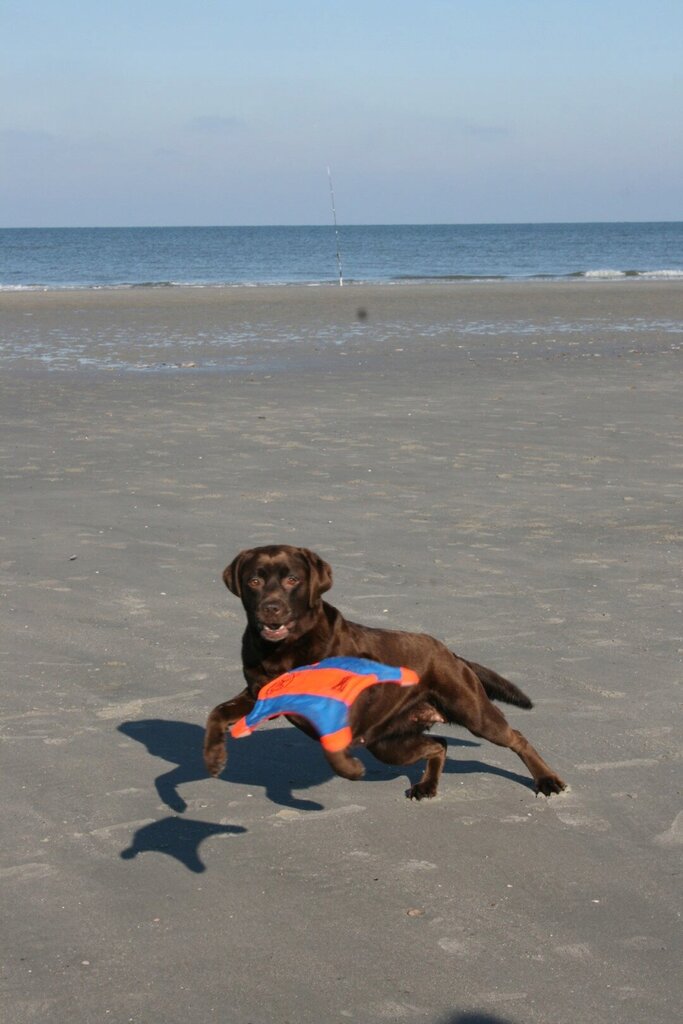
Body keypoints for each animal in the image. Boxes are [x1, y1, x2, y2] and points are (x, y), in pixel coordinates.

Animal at [204, 544, 565, 798]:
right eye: (254, 580)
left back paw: (547, 780)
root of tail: (450, 653)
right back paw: (426, 786)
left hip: (472, 712)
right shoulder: (258, 694)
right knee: (439, 744)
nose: (271, 608)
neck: (285, 650)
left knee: (516, 737)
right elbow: (217, 712)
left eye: (293, 579)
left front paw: (349, 768)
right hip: (390, 744)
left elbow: (333, 743)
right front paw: (213, 758)